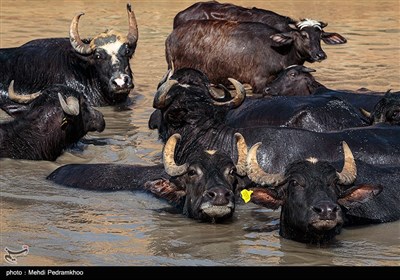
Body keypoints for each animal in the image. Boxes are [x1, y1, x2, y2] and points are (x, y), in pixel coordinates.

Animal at [166, 17, 346, 95]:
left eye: (320, 35)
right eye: (303, 35)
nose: (320, 54)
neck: (281, 51)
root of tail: (171, 37)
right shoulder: (259, 82)